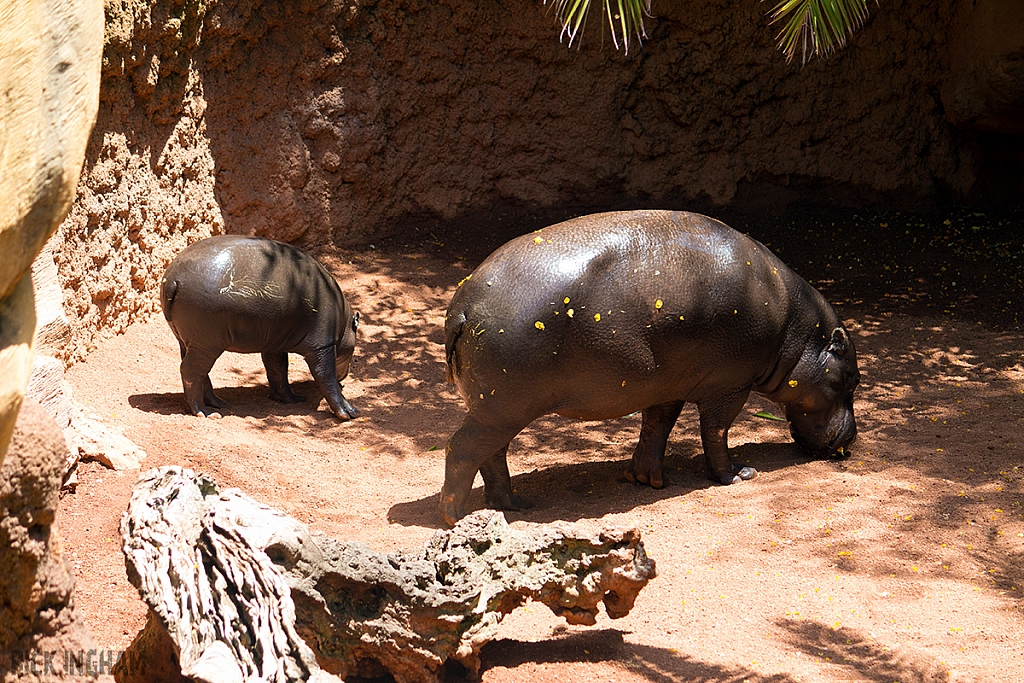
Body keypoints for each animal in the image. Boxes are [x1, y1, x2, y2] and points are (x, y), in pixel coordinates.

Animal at [160, 235, 360, 419]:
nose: (346, 375)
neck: (344, 321)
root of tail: (173, 279)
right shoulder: (323, 344)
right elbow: (325, 376)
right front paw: (350, 413)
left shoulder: (275, 343)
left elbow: (278, 369)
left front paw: (292, 399)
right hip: (206, 342)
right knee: (190, 371)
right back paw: (205, 413)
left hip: (188, 340)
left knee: (200, 371)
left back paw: (218, 404)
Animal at [438, 210, 856, 528]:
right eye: (852, 379)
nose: (852, 439)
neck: (798, 332)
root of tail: (463, 306)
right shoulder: (730, 387)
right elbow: (716, 432)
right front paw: (738, 475)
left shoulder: (666, 384)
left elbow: (656, 428)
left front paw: (646, 479)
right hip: (502, 408)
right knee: (461, 449)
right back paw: (457, 518)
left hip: (498, 410)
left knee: (493, 454)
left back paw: (513, 505)